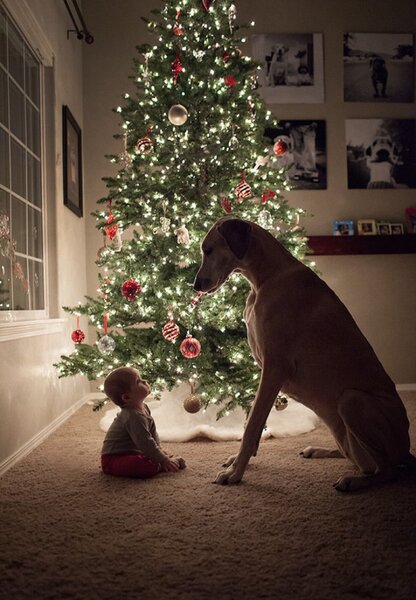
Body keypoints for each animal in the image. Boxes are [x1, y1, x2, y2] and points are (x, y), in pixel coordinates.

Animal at [193, 218, 414, 490]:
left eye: (208, 250)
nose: (195, 285)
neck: (267, 276)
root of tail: (407, 451)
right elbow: (251, 423)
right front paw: (238, 462)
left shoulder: (274, 368)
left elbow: (252, 424)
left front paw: (236, 473)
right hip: (343, 431)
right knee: (362, 461)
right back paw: (320, 451)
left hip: (352, 400)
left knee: (388, 470)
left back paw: (354, 482)